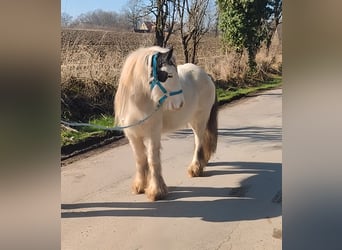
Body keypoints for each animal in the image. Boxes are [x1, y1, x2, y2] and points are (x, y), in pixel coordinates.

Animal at [113, 45, 218, 201]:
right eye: (169, 75)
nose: (180, 104)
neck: (138, 104)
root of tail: (206, 75)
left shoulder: (153, 134)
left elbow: (153, 160)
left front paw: (156, 191)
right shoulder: (133, 136)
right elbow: (140, 159)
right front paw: (140, 186)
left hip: (199, 119)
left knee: (199, 140)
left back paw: (195, 168)